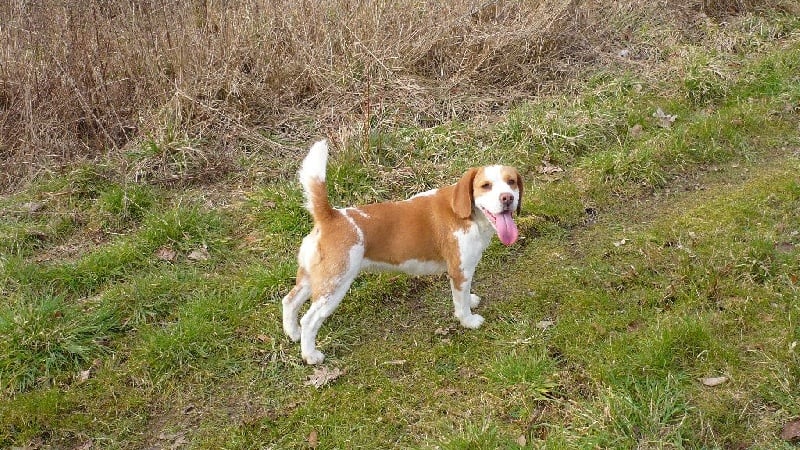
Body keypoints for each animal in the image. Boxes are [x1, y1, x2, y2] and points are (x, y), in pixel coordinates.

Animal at [282, 140, 522, 364]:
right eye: (486, 185)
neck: (468, 214)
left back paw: (293, 333)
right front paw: (468, 321)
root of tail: (330, 216)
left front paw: (470, 300)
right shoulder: (459, 271)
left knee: (289, 301)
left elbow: (465, 295)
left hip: (313, 279)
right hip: (334, 286)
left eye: (511, 182)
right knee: (309, 320)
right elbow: (460, 303)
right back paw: (311, 355)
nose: (507, 198)